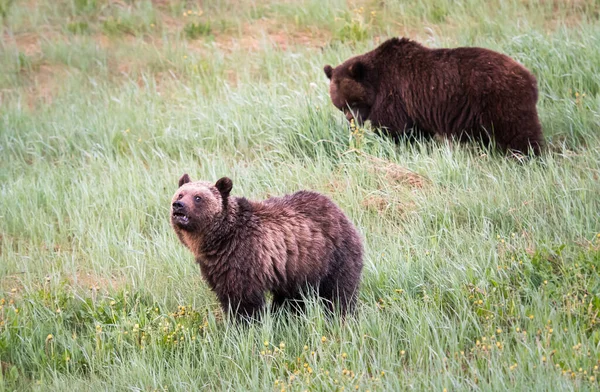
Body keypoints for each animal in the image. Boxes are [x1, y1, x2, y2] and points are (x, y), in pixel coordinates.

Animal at [171, 175, 364, 322]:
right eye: (180, 194)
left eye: (198, 197)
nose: (178, 206)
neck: (219, 240)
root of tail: (338, 210)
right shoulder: (216, 267)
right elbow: (226, 295)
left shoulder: (245, 257)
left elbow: (244, 300)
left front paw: (244, 325)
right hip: (295, 269)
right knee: (292, 299)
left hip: (333, 256)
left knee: (338, 292)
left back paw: (341, 315)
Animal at [326, 38, 548, 155]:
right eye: (341, 106)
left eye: (354, 102)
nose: (352, 121)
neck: (376, 82)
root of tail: (530, 78)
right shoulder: (413, 107)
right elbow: (417, 132)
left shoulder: (394, 95)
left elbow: (395, 129)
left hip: (500, 99)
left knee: (519, 131)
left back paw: (527, 156)